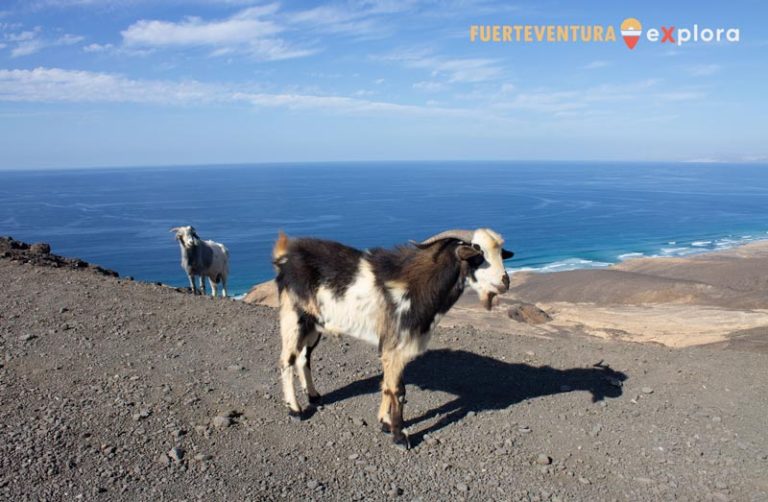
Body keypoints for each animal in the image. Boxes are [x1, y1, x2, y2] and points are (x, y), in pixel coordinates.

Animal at [272, 228, 512, 448]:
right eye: (477, 253)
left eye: (500, 252)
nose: (505, 282)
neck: (416, 286)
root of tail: (285, 257)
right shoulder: (394, 346)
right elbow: (397, 390)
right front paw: (399, 436)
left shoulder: (397, 348)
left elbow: (391, 386)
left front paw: (385, 423)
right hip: (294, 317)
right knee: (287, 360)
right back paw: (295, 410)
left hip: (314, 325)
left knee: (303, 358)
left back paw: (313, 396)